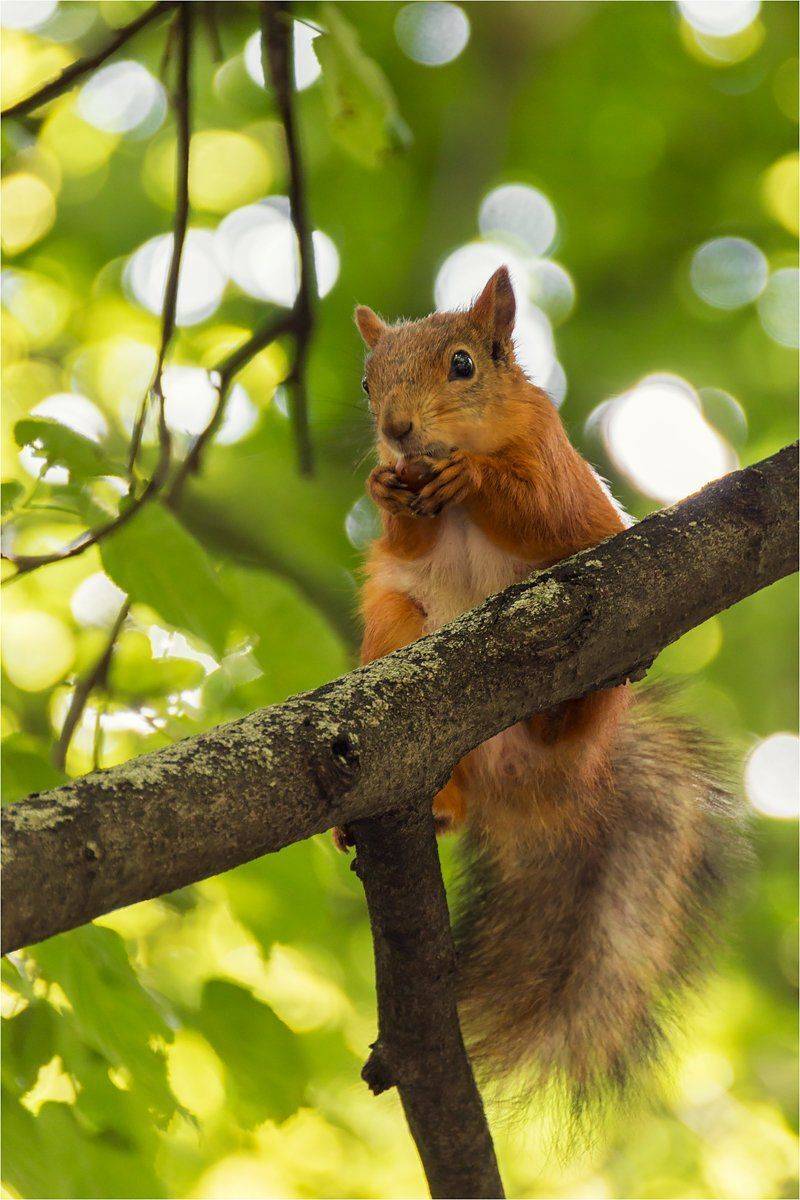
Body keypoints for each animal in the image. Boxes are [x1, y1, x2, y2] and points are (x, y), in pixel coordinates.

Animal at [346, 266, 743, 1112]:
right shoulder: (407, 541)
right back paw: (437, 802)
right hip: (397, 633)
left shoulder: (554, 465)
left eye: (463, 365)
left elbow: (540, 512)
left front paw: (475, 478)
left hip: (600, 679)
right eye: (367, 382)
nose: (396, 430)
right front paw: (385, 487)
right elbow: (406, 542)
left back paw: (563, 712)